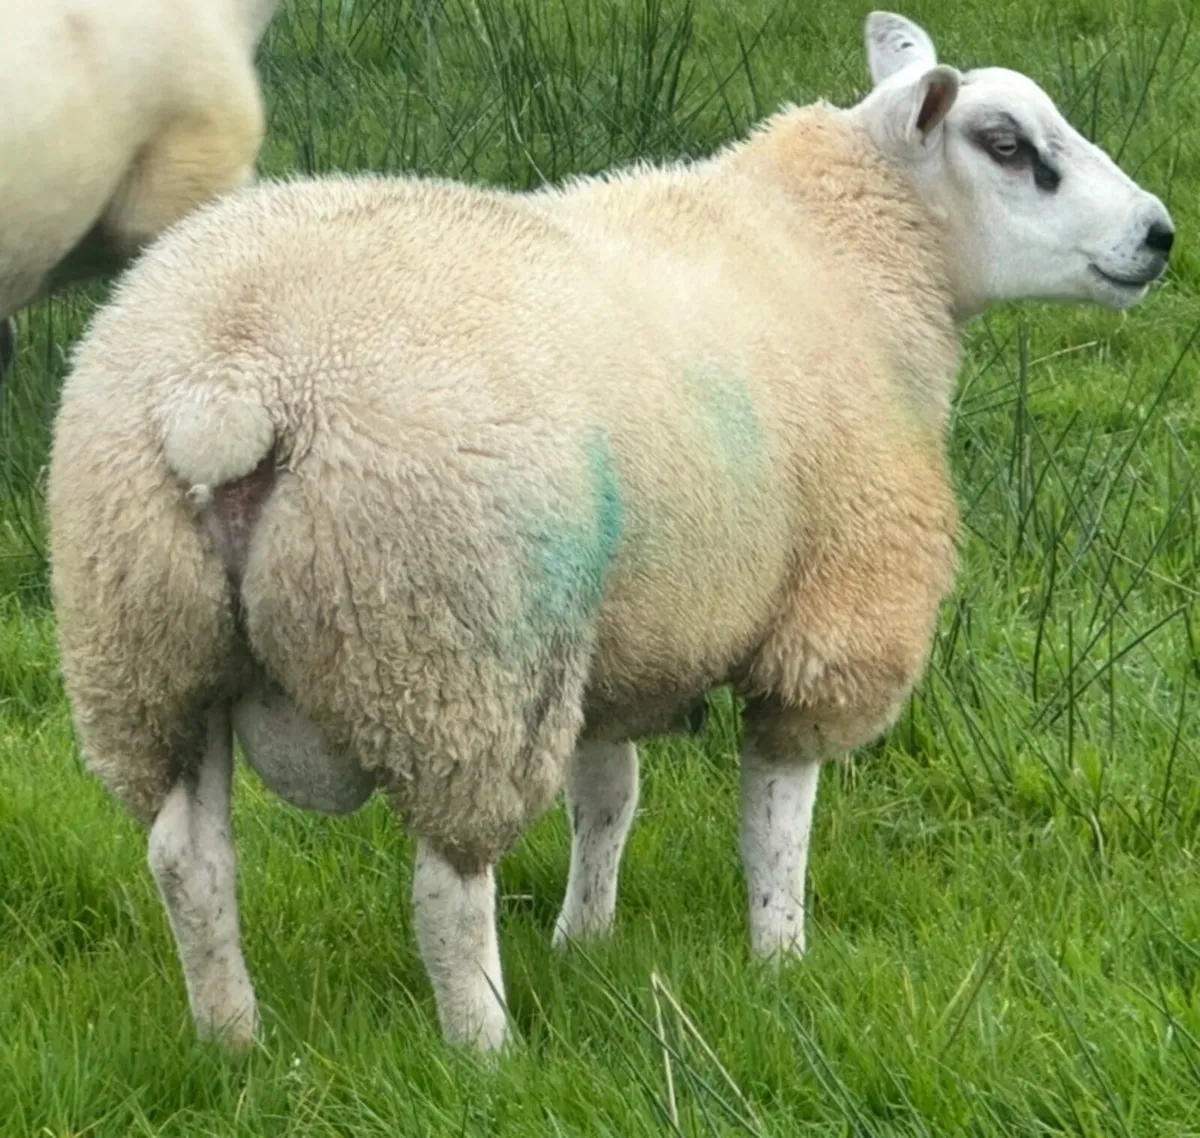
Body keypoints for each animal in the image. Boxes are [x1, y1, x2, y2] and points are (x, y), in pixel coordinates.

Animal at [47, 11, 1175, 1053]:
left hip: (149, 651)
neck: (848, 252)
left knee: (188, 862)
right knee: (447, 887)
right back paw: (486, 1052)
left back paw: (233, 1042)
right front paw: (781, 958)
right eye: (1007, 146)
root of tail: (230, 389)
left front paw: (584, 939)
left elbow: (607, 797)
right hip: (456, 650)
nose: (1160, 234)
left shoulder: (625, 630)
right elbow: (776, 818)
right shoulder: (829, 612)